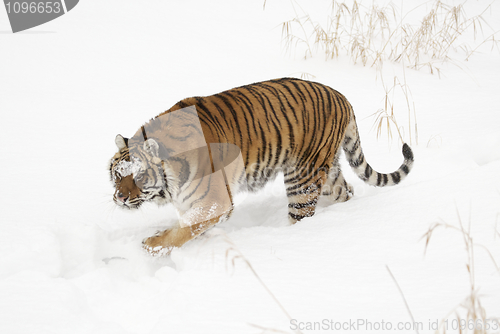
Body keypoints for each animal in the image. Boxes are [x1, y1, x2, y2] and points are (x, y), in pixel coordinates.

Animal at [109, 78, 414, 256]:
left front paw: (152, 246)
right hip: (327, 175)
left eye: (139, 176)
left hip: (302, 178)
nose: (120, 197)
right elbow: (187, 227)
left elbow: (184, 229)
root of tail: (342, 98)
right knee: (347, 190)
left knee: (301, 215)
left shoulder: (214, 201)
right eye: (117, 175)